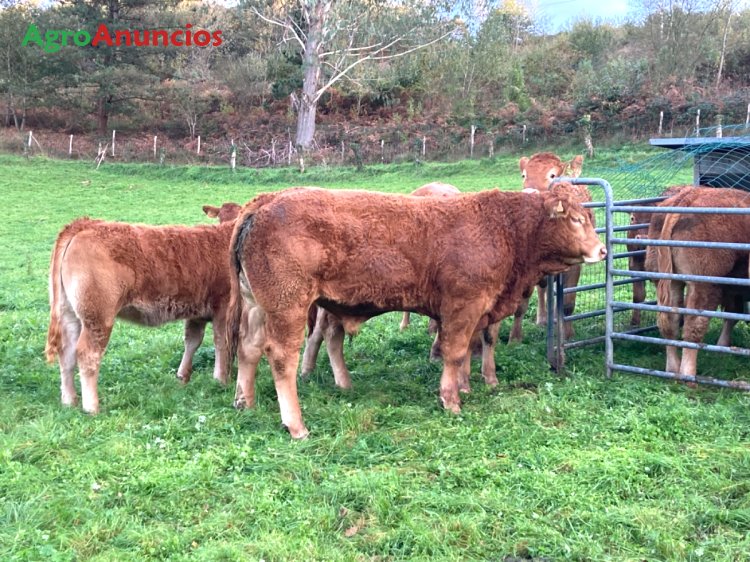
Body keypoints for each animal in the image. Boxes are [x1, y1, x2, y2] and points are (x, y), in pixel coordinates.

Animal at [45, 215, 239, 414]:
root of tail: (85, 224)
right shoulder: (224, 307)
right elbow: (222, 343)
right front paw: (221, 380)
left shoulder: (197, 313)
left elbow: (192, 341)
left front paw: (183, 377)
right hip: (98, 317)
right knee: (87, 354)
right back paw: (92, 407)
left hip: (69, 314)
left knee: (66, 353)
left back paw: (69, 401)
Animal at [228, 186, 606, 438]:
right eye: (576, 219)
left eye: (590, 217)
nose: (602, 250)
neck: (504, 228)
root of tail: (266, 200)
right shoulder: (462, 305)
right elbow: (454, 352)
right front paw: (451, 399)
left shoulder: (477, 310)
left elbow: (470, 348)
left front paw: (466, 386)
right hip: (288, 307)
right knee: (281, 359)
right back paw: (296, 424)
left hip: (257, 308)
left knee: (249, 349)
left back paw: (246, 402)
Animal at [644, 187, 750, 378]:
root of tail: (687, 196)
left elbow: (732, 315)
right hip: (702, 285)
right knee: (693, 325)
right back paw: (688, 375)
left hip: (669, 281)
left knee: (670, 322)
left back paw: (673, 369)